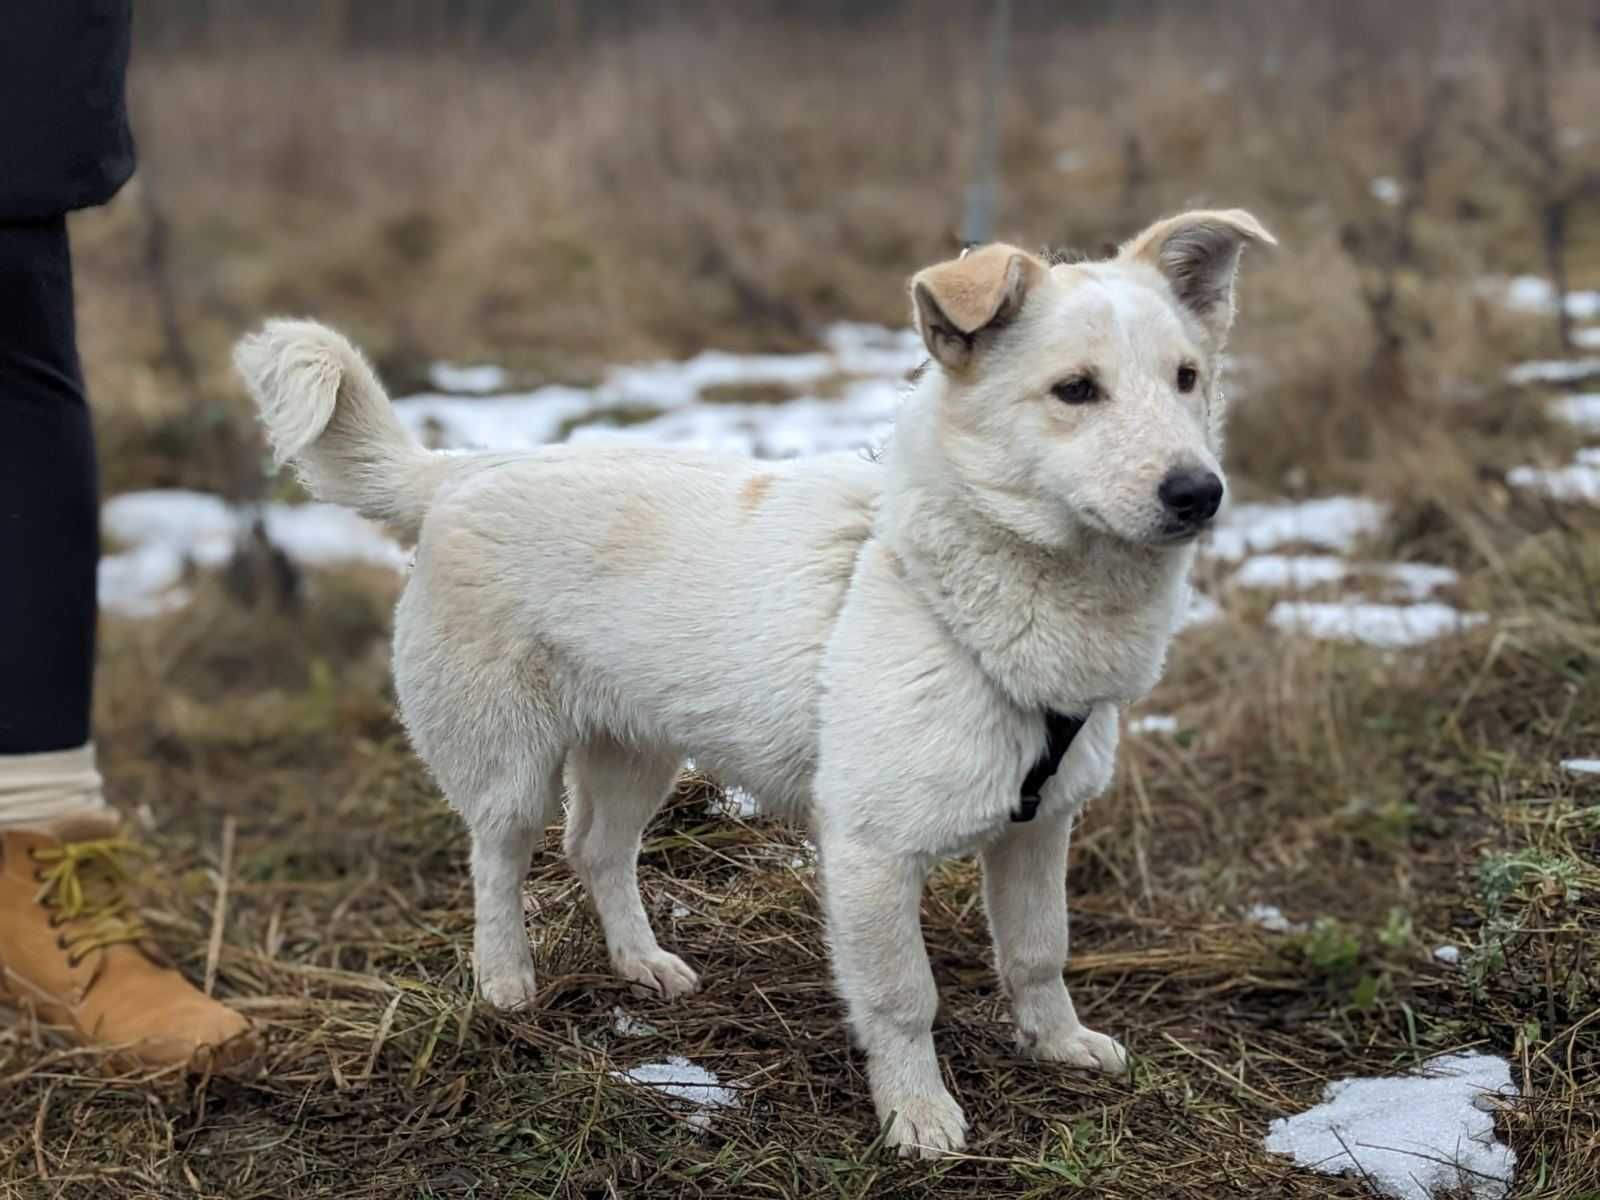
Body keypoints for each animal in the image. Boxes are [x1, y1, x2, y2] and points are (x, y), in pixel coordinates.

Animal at [232, 211, 1267, 1158]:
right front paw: (917, 1113)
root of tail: (461, 470)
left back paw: (641, 963)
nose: (1198, 493)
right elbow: (904, 998)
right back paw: (506, 982)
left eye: (1188, 378)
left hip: (636, 754)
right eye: (1075, 391)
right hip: (509, 766)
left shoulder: (1037, 829)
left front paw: (1057, 1045)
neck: (952, 589)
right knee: (498, 860)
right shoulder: (871, 854)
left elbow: (1039, 954)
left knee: (597, 851)